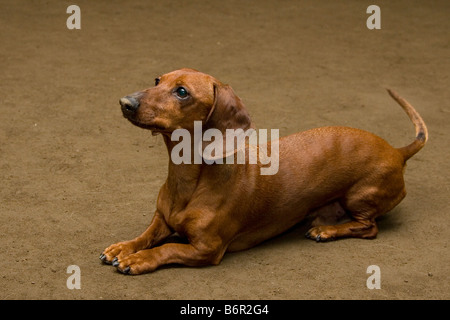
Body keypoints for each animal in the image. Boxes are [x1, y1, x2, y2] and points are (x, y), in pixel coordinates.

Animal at [100, 69, 428, 274]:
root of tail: (397, 151)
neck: (188, 181)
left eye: (182, 92)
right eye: (157, 79)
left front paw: (139, 259)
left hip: (360, 197)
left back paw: (327, 230)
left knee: (369, 228)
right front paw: (124, 248)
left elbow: (167, 248)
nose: (125, 102)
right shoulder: (161, 219)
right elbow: (146, 235)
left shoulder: (206, 249)